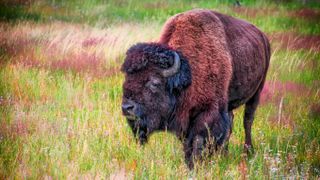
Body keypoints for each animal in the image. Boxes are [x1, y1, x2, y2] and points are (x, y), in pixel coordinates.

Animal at [120, 8, 270, 169]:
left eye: (154, 82)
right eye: (127, 79)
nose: (127, 108)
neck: (189, 72)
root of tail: (263, 37)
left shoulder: (208, 112)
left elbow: (199, 141)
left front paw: (195, 165)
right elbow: (189, 143)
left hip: (256, 92)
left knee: (247, 121)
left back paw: (247, 152)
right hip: (229, 102)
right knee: (231, 122)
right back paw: (224, 154)